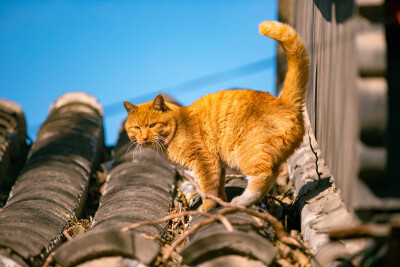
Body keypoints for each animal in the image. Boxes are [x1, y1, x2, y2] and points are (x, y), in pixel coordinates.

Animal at [124, 22, 310, 213]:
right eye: (137, 128)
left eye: (152, 125)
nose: (144, 137)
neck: (176, 128)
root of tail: (284, 102)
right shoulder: (217, 165)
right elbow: (218, 186)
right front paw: (220, 201)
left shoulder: (203, 160)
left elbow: (208, 187)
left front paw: (207, 207)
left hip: (250, 153)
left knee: (264, 176)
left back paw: (241, 201)